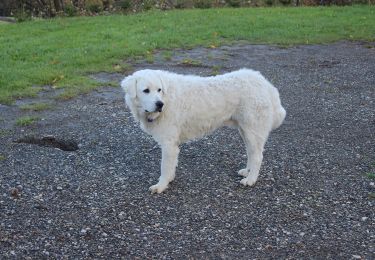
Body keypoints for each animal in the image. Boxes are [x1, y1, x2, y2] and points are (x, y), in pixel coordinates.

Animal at [122, 69, 286, 193]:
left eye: (159, 90)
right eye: (146, 91)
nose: (159, 104)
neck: (167, 97)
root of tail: (264, 82)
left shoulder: (168, 144)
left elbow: (164, 167)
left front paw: (161, 186)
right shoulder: (173, 145)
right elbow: (171, 166)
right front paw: (170, 179)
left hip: (252, 130)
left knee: (258, 156)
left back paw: (251, 180)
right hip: (245, 131)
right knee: (252, 153)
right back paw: (247, 171)